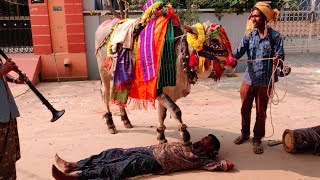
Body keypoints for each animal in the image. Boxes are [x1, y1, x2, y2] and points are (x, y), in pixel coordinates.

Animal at [94, 1, 236, 145]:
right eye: (214, 40)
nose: (233, 61)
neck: (177, 56)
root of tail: (103, 25)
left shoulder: (167, 89)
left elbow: (162, 113)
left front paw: (161, 135)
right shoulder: (158, 89)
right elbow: (176, 110)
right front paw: (185, 136)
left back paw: (126, 120)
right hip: (103, 72)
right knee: (105, 94)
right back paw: (111, 124)